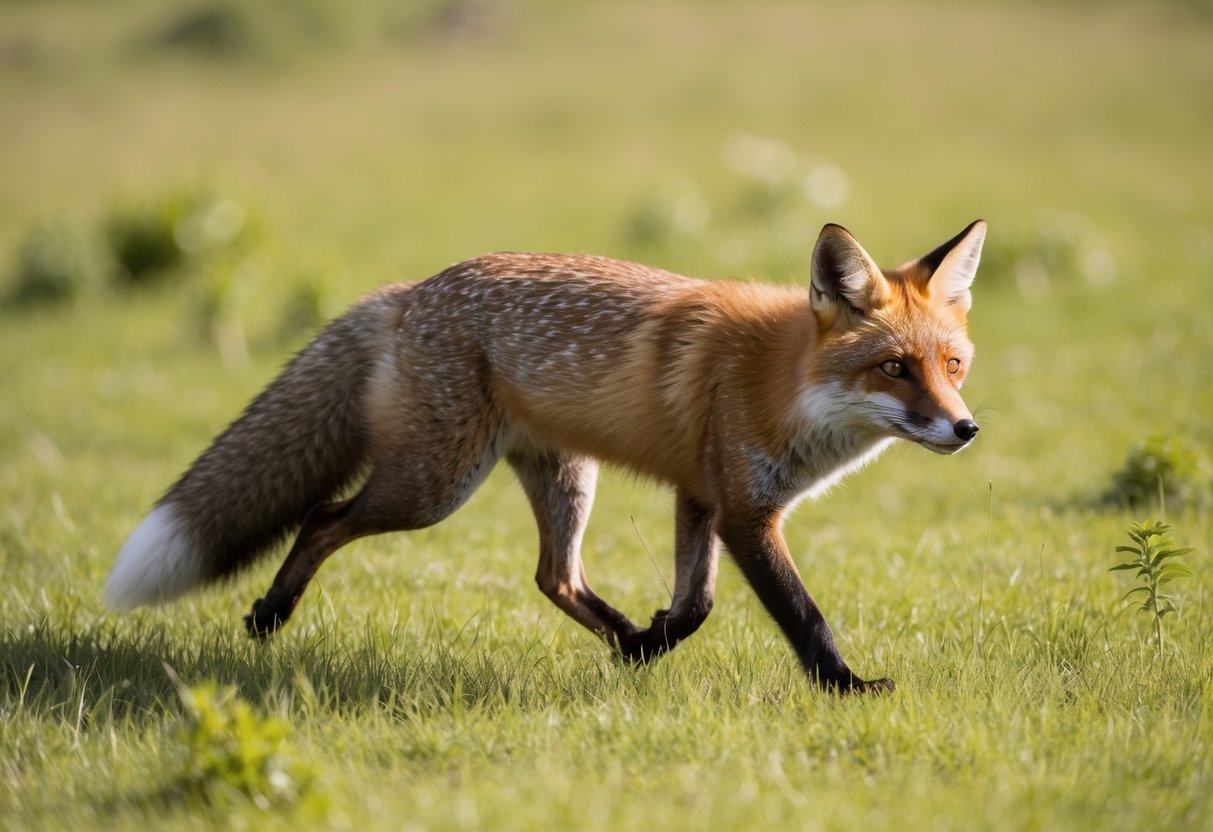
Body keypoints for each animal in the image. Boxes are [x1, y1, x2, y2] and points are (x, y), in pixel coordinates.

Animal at [105, 220, 986, 694]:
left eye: (952, 366)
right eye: (893, 368)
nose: (965, 429)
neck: (780, 381)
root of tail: (411, 289)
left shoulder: (699, 496)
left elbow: (696, 604)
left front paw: (651, 640)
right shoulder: (743, 511)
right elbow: (801, 613)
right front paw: (846, 687)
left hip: (563, 477)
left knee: (553, 576)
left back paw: (625, 639)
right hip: (434, 486)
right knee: (323, 516)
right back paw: (269, 614)